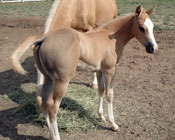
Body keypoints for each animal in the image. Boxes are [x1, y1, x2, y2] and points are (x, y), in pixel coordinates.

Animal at [32, 6, 159, 140]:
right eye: (141, 27)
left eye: (152, 26)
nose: (153, 48)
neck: (110, 35)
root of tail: (44, 39)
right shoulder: (110, 70)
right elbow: (109, 94)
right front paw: (113, 124)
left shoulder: (100, 71)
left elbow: (101, 90)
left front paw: (101, 116)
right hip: (62, 81)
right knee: (52, 105)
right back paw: (56, 136)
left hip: (49, 78)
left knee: (42, 101)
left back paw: (51, 134)